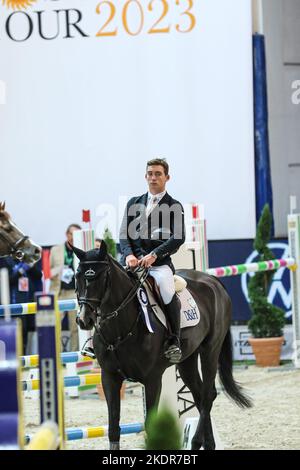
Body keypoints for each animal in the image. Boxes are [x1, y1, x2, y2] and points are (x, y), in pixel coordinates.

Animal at [72, 244, 251, 450]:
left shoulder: (152, 379)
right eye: (77, 276)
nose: (84, 320)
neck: (120, 329)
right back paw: (208, 444)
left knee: (208, 395)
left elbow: (151, 427)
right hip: (187, 360)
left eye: (101, 277)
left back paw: (196, 442)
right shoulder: (109, 377)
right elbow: (113, 428)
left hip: (210, 351)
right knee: (199, 395)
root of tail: (212, 280)